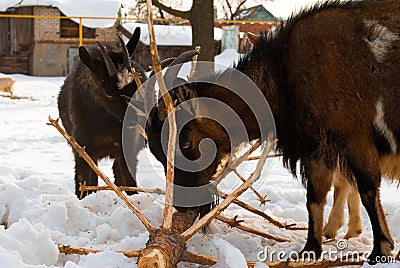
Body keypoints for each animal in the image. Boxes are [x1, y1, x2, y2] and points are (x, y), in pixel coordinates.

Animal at [146, 0, 400, 262]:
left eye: (185, 142)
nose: (183, 205)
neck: (283, 72)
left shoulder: (354, 137)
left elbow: (367, 189)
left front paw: (381, 249)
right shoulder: (314, 148)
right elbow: (315, 197)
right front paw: (309, 250)